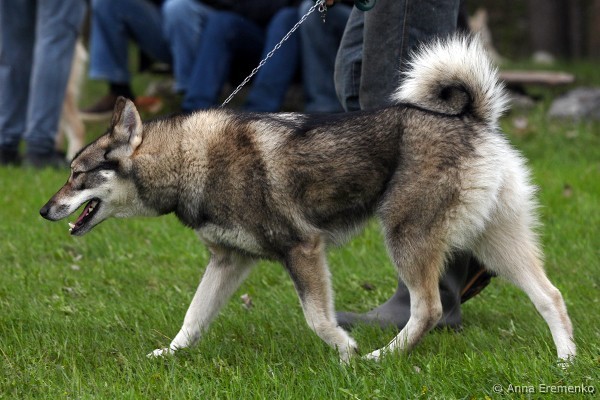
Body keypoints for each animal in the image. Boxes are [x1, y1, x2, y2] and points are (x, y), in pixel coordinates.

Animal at [39, 35, 576, 363]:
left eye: (76, 174)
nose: (44, 210)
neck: (190, 158)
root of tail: (472, 119)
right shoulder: (227, 261)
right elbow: (192, 318)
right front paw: (169, 355)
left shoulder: (303, 249)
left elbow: (317, 319)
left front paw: (346, 352)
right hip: (496, 242)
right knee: (549, 295)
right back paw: (566, 362)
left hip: (406, 237)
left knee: (428, 309)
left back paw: (381, 358)